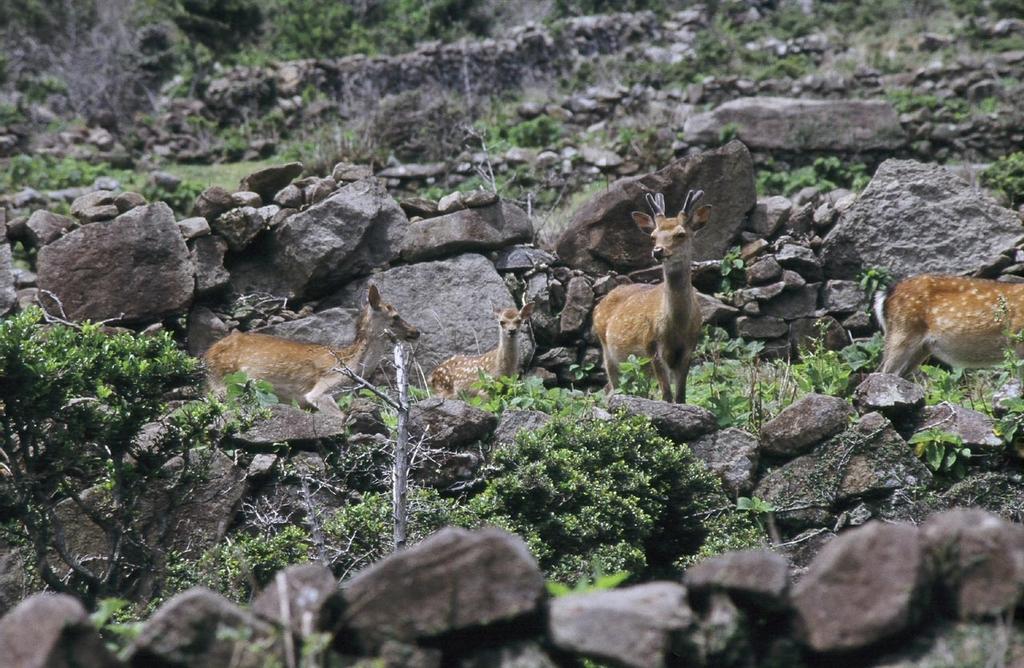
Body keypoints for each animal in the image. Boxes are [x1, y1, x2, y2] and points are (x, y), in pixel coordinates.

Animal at [203, 284, 419, 413]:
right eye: (395, 316)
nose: (416, 331)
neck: (352, 365)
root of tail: (206, 355)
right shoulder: (323, 386)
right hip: (223, 381)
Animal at [593, 190, 712, 403]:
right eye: (653, 236)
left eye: (680, 234)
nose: (657, 251)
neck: (676, 327)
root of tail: (599, 304)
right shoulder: (652, 347)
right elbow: (667, 396)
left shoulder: (689, 349)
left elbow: (680, 396)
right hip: (608, 351)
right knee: (612, 387)